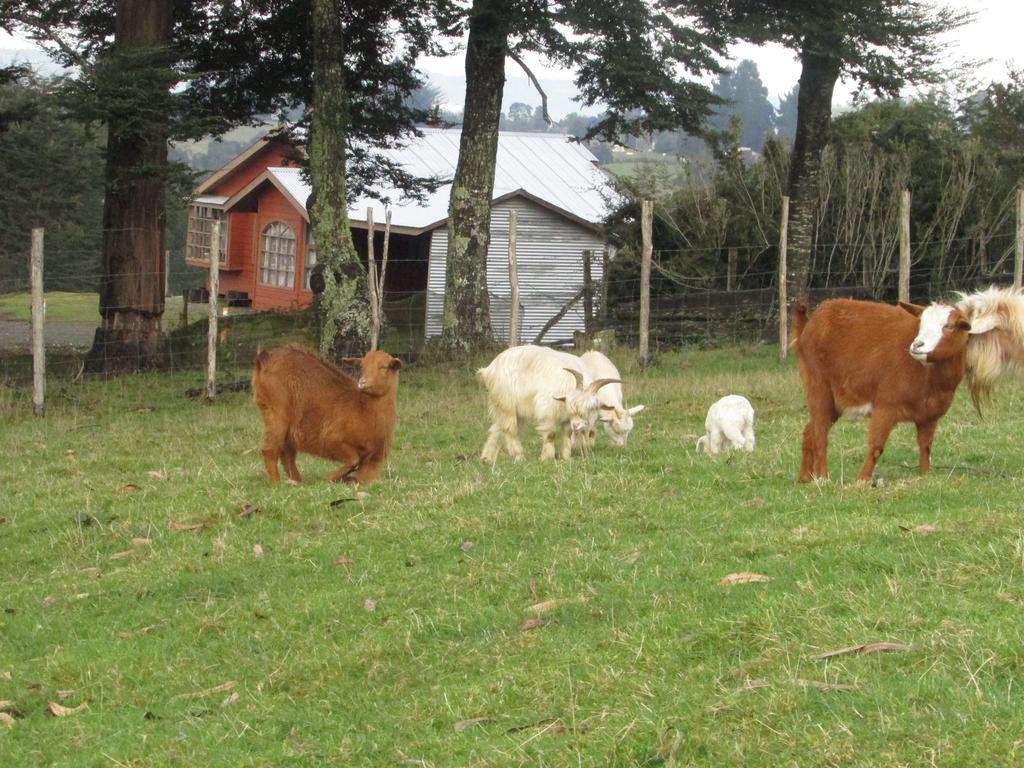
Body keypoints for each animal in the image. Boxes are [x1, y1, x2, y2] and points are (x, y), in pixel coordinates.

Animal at [249, 346, 401, 483]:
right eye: (361, 367)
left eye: (385, 367)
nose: (362, 383)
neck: (362, 408)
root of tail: (264, 358)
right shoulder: (331, 439)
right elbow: (354, 460)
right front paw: (330, 477)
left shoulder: (374, 459)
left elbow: (366, 477)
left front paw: (346, 479)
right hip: (276, 412)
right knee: (270, 449)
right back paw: (277, 483)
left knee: (286, 453)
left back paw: (297, 481)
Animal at [790, 299, 974, 483]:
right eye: (921, 323)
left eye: (949, 326)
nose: (917, 345)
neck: (930, 375)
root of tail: (810, 323)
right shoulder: (886, 406)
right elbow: (876, 447)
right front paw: (862, 480)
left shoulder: (929, 416)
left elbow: (925, 446)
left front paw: (924, 475)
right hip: (818, 387)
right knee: (820, 434)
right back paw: (823, 477)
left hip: (835, 403)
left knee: (810, 431)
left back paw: (805, 478)